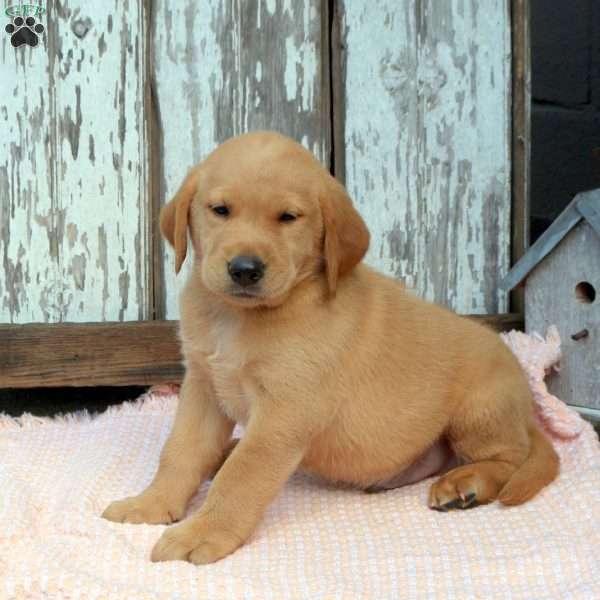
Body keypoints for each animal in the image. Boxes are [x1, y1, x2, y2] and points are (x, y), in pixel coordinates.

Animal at [102, 130, 556, 564]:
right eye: (220, 210)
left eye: (288, 218)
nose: (245, 269)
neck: (239, 317)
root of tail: (525, 407)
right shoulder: (203, 387)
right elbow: (180, 452)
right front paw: (152, 503)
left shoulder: (284, 411)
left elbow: (243, 475)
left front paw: (202, 533)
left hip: (478, 410)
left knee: (510, 457)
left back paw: (467, 483)